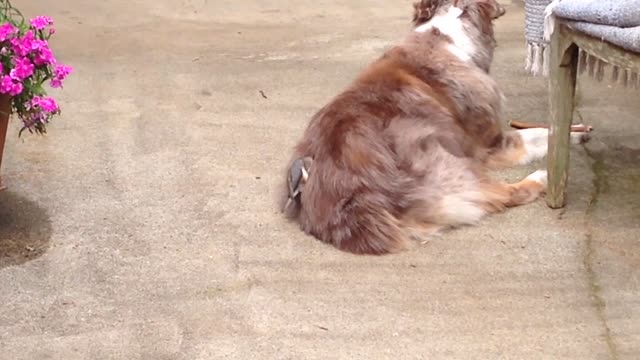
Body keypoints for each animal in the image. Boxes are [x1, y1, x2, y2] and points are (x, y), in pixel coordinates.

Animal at [278, 0, 588, 255]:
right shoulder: (490, 145)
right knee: (502, 194)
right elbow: (540, 135)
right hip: (448, 164)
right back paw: (540, 179)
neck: (446, 37)